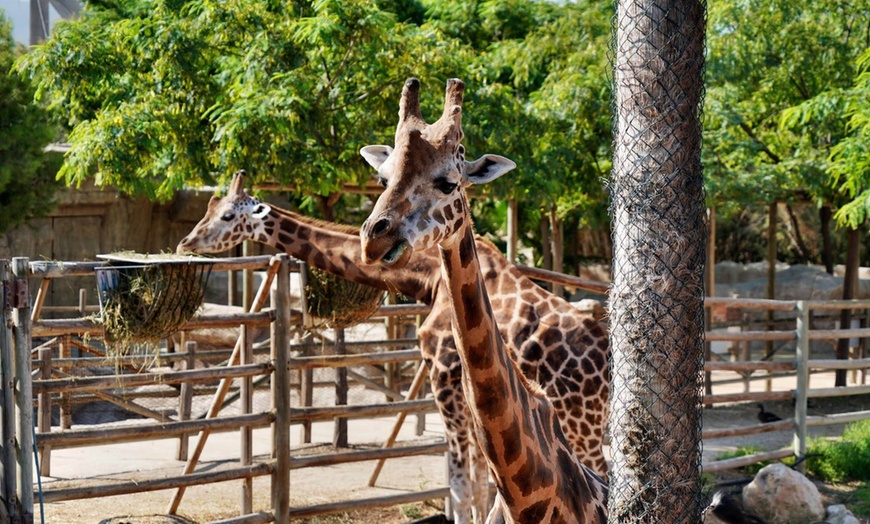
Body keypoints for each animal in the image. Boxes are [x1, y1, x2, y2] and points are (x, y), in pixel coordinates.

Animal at [177, 177, 608, 524]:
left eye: (227, 215)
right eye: (208, 209)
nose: (186, 241)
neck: (428, 276)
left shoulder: (442, 374)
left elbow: (460, 484)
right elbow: (478, 484)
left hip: (582, 424)